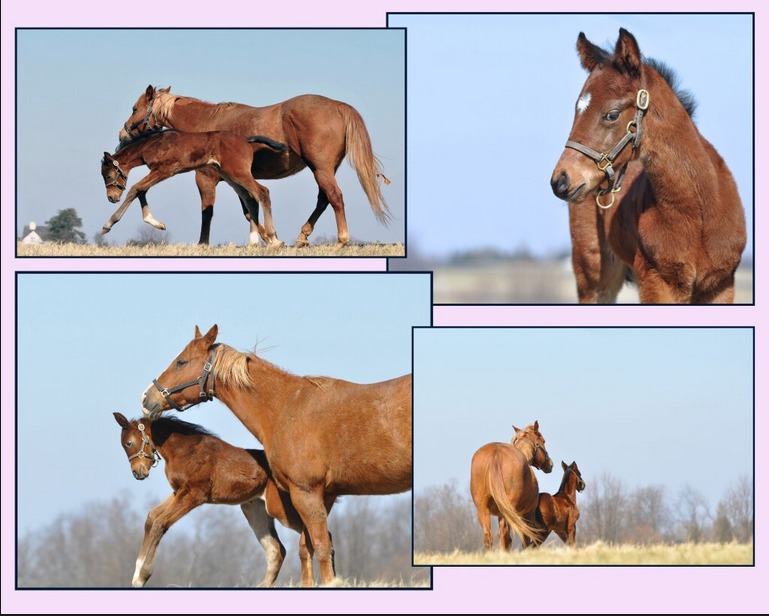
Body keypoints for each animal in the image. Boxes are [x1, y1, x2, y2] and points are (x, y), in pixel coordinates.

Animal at [101, 129, 289, 247]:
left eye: (107, 176)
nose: (111, 197)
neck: (153, 143)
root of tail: (245, 140)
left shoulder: (165, 170)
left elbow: (135, 189)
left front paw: (108, 225)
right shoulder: (158, 172)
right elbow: (141, 191)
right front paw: (157, 224)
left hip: (237, 172)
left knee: (263, 192)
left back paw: (274, 238)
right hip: (230, 175)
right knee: (250, 199)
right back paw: (254, 242)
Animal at [113, 412, 334, 587]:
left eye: (129, 443)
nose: (138, 473)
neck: (185, 451)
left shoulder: (194, 494)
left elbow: (160, 523)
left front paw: (142, 576)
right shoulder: (178, 492)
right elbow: (151, 517)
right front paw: (137, 574)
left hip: (282, 508)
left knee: (321, 535)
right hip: (254, 510)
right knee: (276, 550)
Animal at [139, 324, 412, 586]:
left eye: (181, 362)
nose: (146, 398)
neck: (286, 407)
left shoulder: (306, 492)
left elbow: (322, 548)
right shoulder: (321, 496)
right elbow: (306, 548)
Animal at [470, 421, 554, 551]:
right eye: (543, 441)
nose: (550, 464)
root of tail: (495, 455)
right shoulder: (528, 514)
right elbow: (525, 539)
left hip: (483, 510)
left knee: (489, 536)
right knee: (505, 535)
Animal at [551, 28, 746, 304]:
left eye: (611, 114)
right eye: (577, 109)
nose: (561, 180)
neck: (698, 211)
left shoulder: (721, 286)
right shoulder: (656, 281)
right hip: (593, 274)